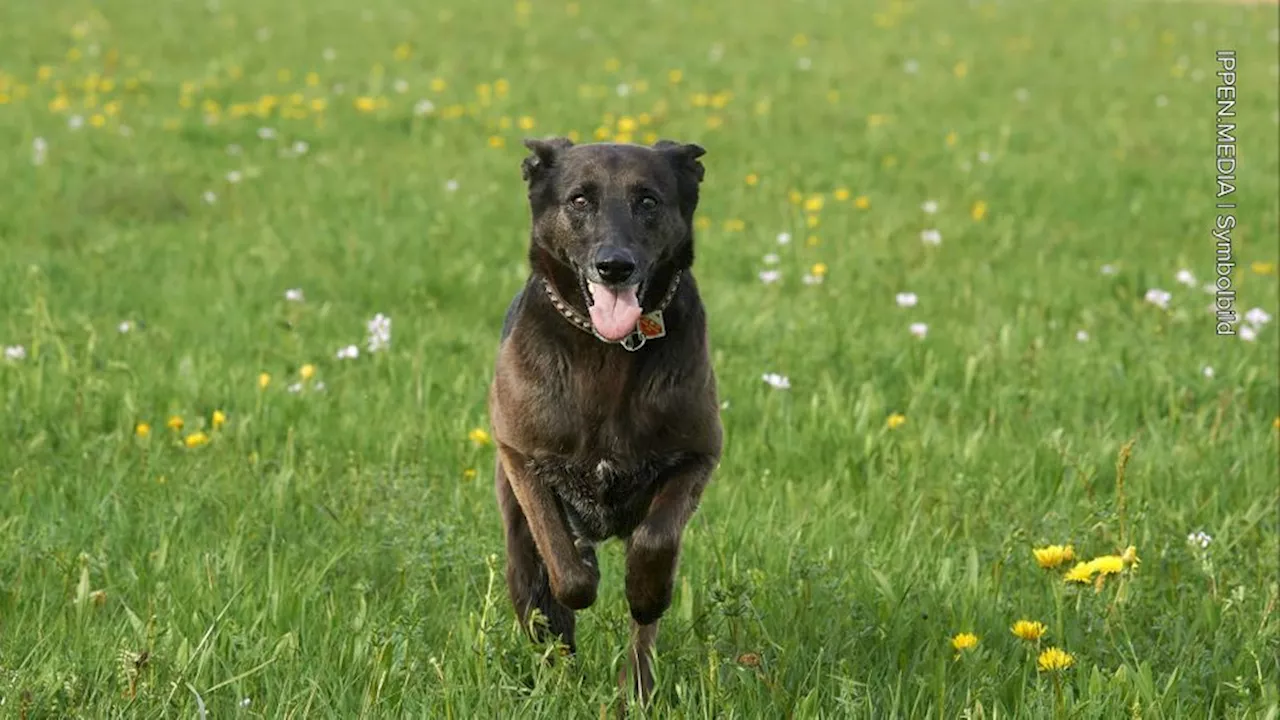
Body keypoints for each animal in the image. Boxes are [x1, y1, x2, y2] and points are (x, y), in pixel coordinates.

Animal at [483, 134, 721, 702]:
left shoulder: (698, 455)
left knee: (642, 632)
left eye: (648, 201)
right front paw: (582, 566)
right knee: (546, 613)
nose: (615, 266)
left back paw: (636, 688)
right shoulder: (521, 456)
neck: (610, 350)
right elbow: (562, 562)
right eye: (579, 200)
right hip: (518, 558)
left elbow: (656, 543)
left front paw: (645, 589)